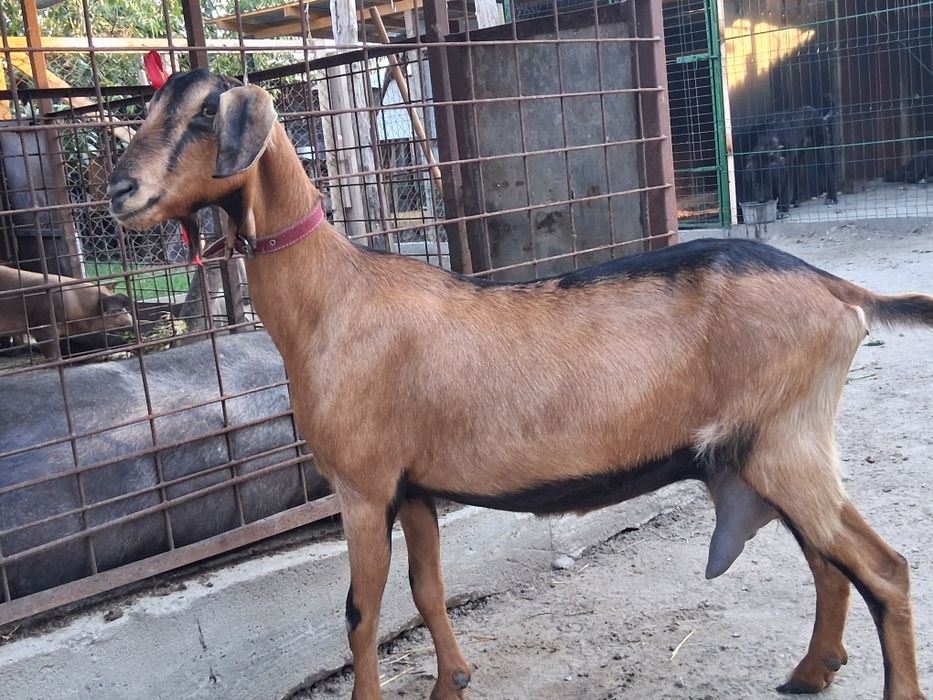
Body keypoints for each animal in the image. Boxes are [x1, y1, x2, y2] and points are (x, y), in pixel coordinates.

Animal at [108, 70, 931, 700]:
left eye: (205, 113)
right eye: (152, 107)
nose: (120, 189)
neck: (335, 299)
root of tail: (838, 290)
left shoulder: (363, 484)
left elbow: (360, 614)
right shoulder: (414, 487)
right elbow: (426, 591)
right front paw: (453, 682)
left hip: (785, 444)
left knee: (882, 569)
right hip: (762, 451)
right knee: (829, 565)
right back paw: (808, 673)